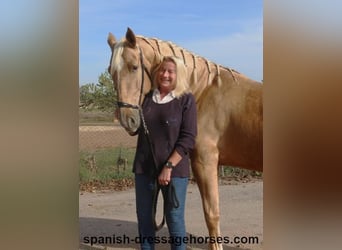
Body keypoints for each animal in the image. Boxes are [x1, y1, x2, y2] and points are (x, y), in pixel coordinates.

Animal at [107, 27, 262, 250]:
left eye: (134, 67)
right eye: (110, 71)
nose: (128, 120)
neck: (204, 91)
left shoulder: (205, 162)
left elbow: (211, 214)